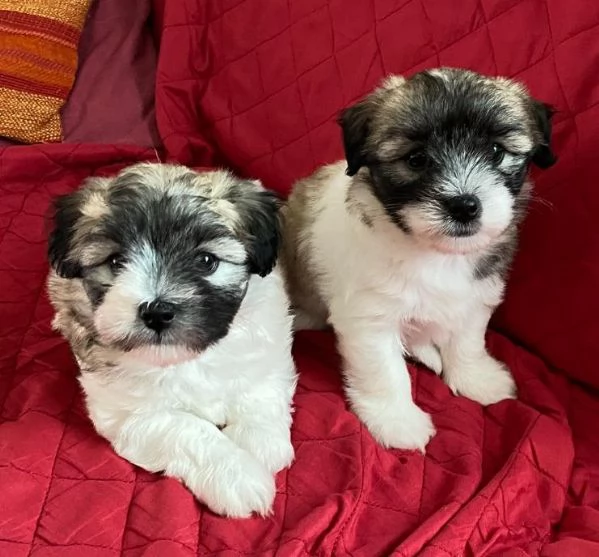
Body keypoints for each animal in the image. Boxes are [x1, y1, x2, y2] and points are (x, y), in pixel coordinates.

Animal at [48, 162, 296, 516]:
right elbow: (186, 429)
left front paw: (258, 443)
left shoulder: (271, 350)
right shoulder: (129, 415)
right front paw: (236, 474)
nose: (157, 312)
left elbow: (260, 391)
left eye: (206, 261)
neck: (187, 357)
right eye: (115, 262)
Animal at [282, 68, 556, 452]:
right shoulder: (369, 317)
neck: (434, 252)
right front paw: (396, 419)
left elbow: (468, 340)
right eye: (416, 160)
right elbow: (386, 371)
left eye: (496, 151)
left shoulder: (475, 298)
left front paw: (475, 377)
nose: (464, 205)